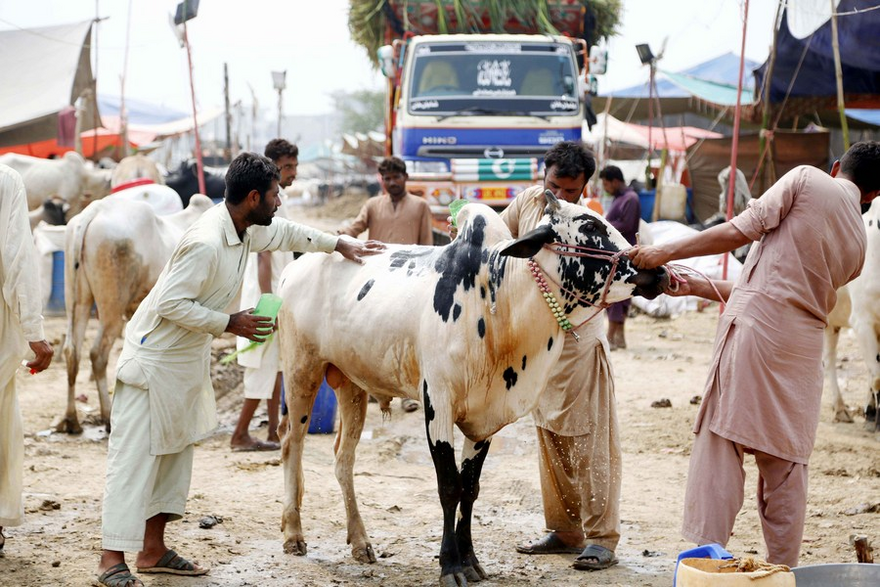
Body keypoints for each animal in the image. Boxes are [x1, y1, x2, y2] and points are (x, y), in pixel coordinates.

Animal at [276, 199, 668, 587]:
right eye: (588, 226)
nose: (657, 269)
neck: (498, 298)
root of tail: (295, 266)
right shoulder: (438, 404)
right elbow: (449, 487)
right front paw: (450, 566)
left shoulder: (485, 419)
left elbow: (470, 488)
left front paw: (471, 561)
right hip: (300, 372)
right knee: (291, 443)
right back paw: (294, 534)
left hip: (352, 385)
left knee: (344, 459)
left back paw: (360, 541)